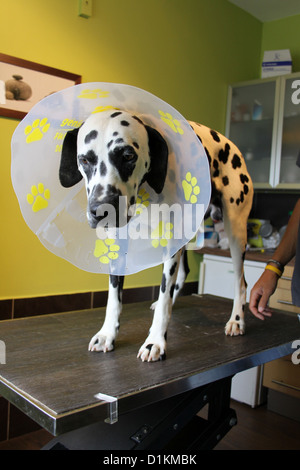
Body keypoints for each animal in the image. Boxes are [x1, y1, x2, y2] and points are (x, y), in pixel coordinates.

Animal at [60, 110, 253, 364]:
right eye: (84, 160)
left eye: (128, 155)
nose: (101, 209)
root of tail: (232, 145)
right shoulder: (118, 246)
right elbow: (114, 298)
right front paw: (107, 334)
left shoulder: (171, 247)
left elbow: (163, 297)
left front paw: (155, 342)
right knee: (184, 273)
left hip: (235, 232)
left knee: (241, 281)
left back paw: (237, 320)